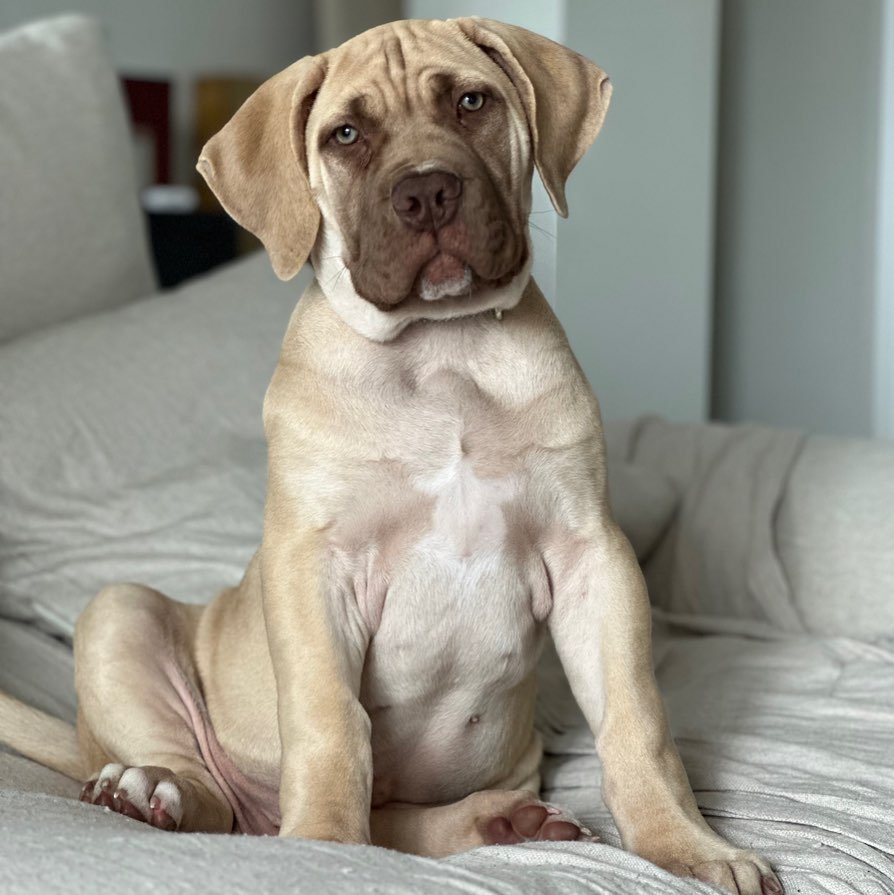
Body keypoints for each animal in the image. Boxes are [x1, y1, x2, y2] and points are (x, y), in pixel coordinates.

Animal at [0, 18, 781, 895]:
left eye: (472, 102)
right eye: (346, 135)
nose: (428, 193)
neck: (442, 353)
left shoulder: (592, 557)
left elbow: (637, 718)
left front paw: (688, 845)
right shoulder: (314, 567)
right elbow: (332, 723)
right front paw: (322, 850)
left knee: (396, 824)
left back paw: (503, 819)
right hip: (121, 610)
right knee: (211, 792)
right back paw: (150, 791)